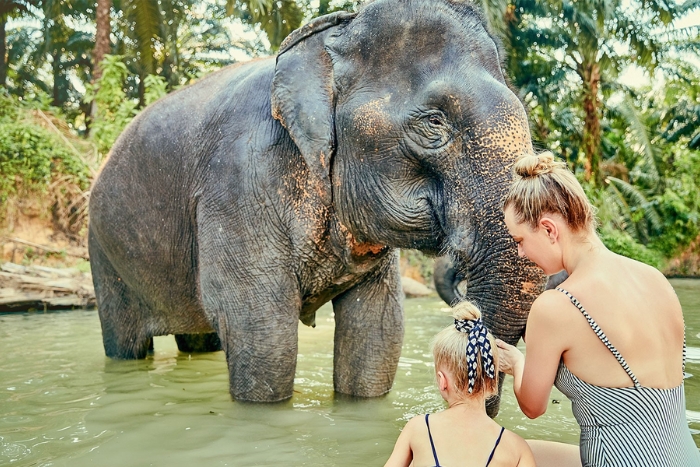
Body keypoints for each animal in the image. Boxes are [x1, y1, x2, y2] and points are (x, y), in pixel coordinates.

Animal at [88, 0, 545, 406]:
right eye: (435, 122)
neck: (334, 31)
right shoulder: (238, 184)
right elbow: (263, 332)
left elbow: (378, 332)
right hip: (105, 254)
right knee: (125, 342)